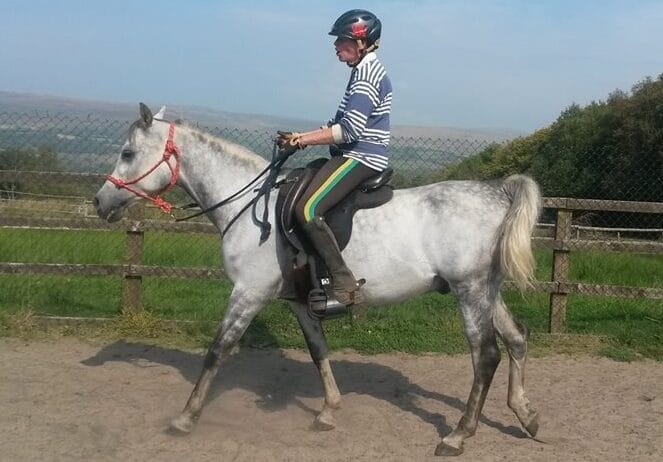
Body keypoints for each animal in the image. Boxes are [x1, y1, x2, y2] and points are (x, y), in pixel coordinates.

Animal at [94, 104, 542, 457]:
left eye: (128, 152)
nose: (100, 202)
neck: (248, 205)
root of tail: (497, 193)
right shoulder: (299, 301)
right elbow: (318, 351)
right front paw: (328, 410)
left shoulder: (248, 293)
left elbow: (218, 350)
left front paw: (186, 417)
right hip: (487, 290)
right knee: (517, 337)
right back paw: (526, 415)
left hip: (470, 290)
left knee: (486, 356)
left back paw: (458, 436)